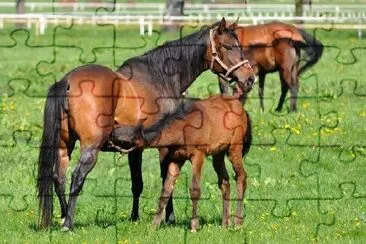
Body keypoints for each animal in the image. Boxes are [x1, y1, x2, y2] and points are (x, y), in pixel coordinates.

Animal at [113, 94, 253, 232]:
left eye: (129, 137)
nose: (112, 134)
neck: (184, 128)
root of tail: (243, 110)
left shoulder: (198, 156)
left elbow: (195, 190)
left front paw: (194, 226)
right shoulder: (176, 159)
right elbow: (166, 190)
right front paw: (154, 225)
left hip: (234, 148)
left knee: (241, 177)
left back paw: (238, 222)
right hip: (218, 153)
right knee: (224, 181)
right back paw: (225, 223)